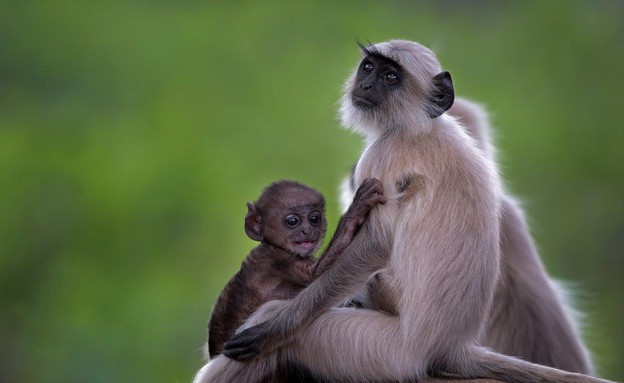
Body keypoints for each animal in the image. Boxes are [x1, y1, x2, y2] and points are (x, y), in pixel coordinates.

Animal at [208, 179, 386, 360]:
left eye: (314, 218)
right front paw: (354, 212)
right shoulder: (279, 260)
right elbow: (315, 274)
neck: (271, 245)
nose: (307, 230)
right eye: (292, 221)